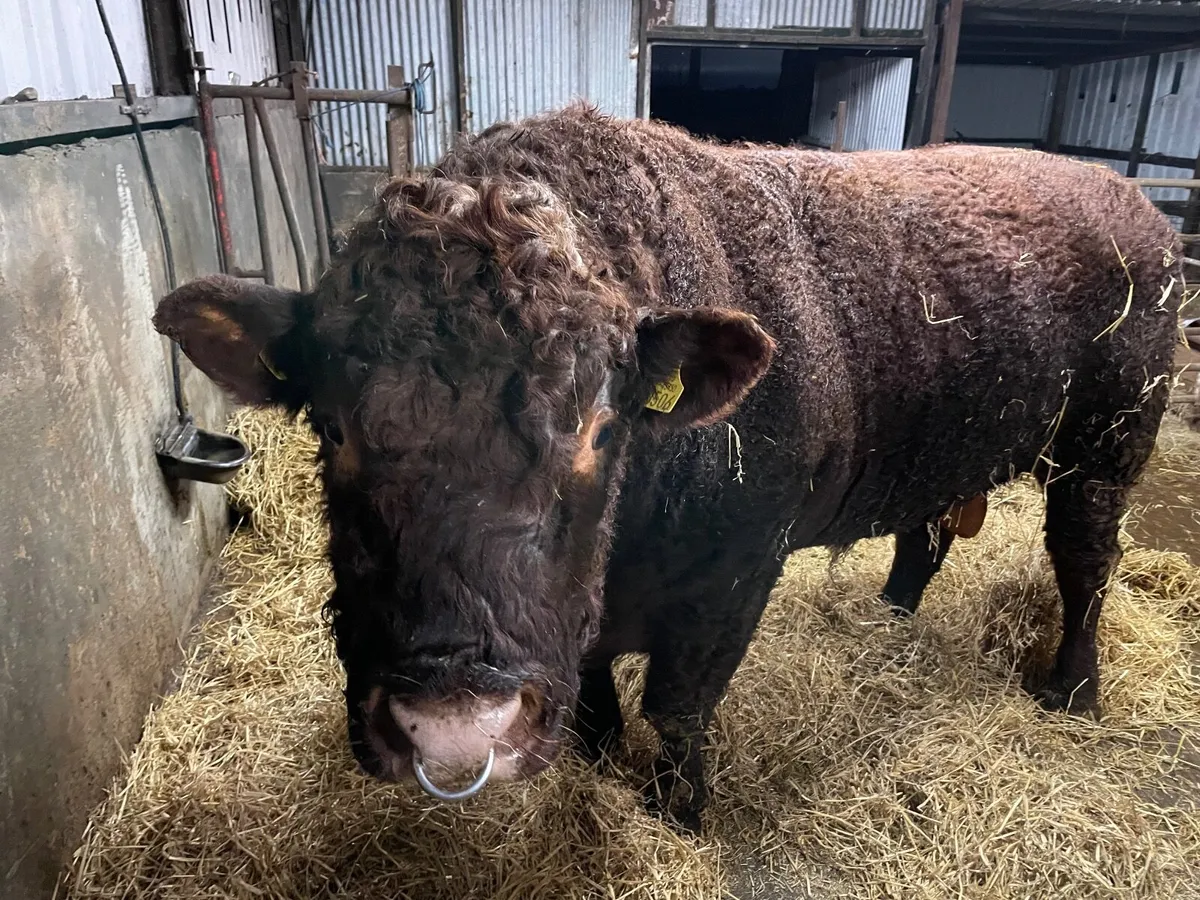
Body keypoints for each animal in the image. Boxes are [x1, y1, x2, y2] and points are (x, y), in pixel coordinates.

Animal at [155, 105, 1181, 832]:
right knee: (926, 534)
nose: (453, 729)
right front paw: (601, 765)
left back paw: (1073, 690)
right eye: (333, 430)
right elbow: (597, 696)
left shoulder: (733, 581)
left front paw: (677, 813)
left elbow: (682, 710)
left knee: (1085, 558)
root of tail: (1124, 195)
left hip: (1110, 437)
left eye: (597, 426)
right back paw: (891, 619)